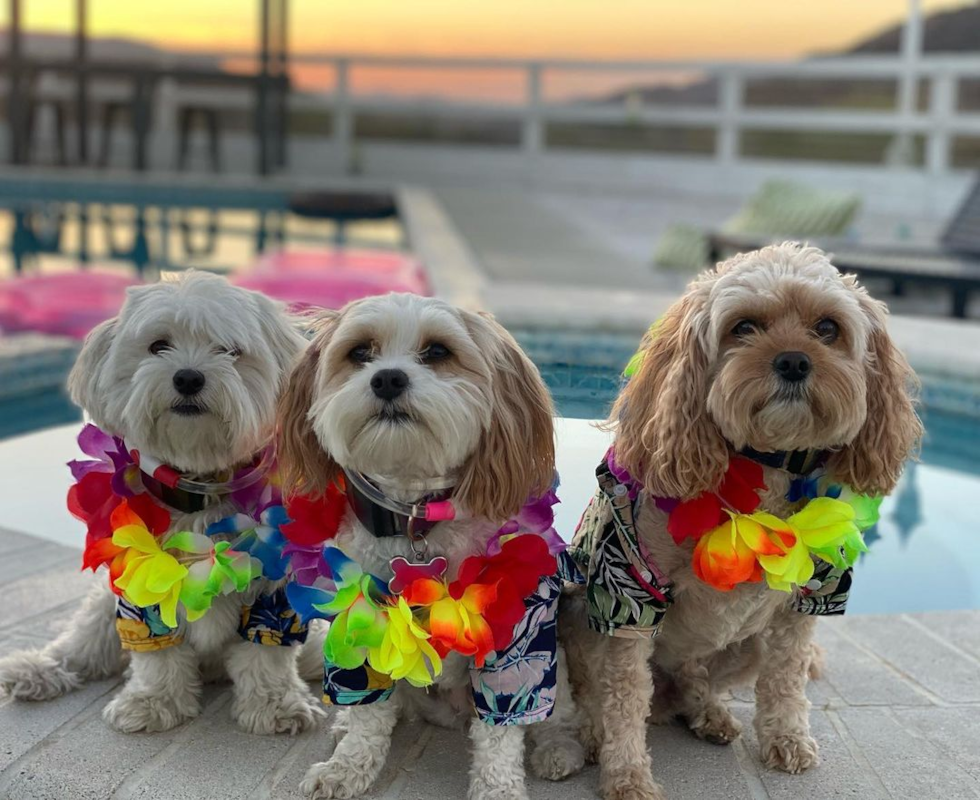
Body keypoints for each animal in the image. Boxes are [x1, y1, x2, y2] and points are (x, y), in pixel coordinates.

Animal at [0, 272, 318, 736]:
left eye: (230, 351)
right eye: (158, 346)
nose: (188, 377)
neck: (200, 487)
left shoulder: (273, 593)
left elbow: (266, 653)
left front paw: (275, 704)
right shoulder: (141, 586)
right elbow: (159, 652)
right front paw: (155, 702)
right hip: (101, 607)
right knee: (80, 649)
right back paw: (35, 670)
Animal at [278, 296, 580, 800]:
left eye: (438, 351)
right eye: (360, 352)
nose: (387, 378)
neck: (415, 517)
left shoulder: (515, 631)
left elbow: (501, 728)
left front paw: (498, 789)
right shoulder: (360, 620)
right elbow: (368, 715)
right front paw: (347, 767)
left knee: (554, 712)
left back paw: (559, 748)